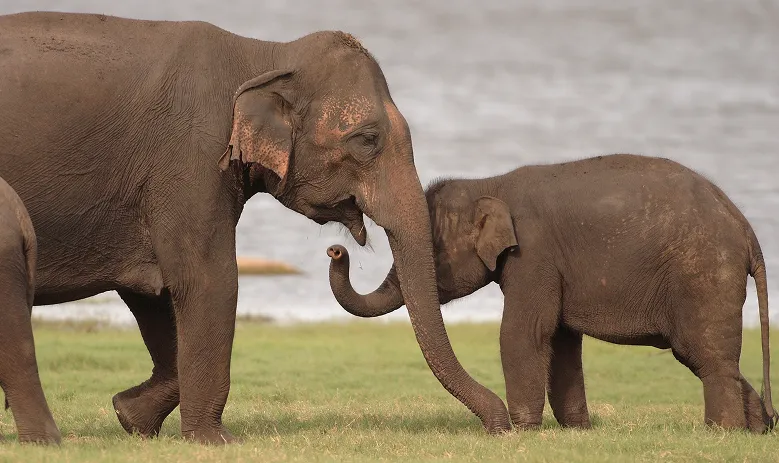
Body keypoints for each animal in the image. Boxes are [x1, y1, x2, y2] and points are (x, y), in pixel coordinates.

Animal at [0, 11, 510, 443]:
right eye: (367, 139)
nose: (500, 427)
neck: (262, 54)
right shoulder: (190, 160)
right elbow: (208, 281)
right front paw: (214, 440)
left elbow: (155, 292)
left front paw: (130, 416)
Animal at [326, 153, 775, 433]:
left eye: (432, 249)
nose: (336, 249)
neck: (491, 183)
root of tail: (747, 229)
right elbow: (560, 339)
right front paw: (578, 428)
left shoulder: (533, 253)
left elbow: (525, 333)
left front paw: (523, 430)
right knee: (704, 355)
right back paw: (755, 430)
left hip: (705, 274)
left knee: (705, 354)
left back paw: (722, 431)